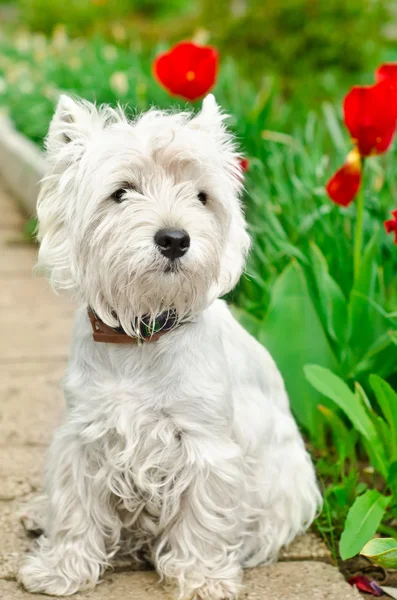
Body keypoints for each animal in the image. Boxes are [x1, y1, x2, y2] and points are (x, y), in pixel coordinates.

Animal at [18, 94, 320, 600]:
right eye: (121, 192)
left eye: (201, 196)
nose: (175, 239)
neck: (141, 334)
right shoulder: (84, 433)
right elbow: (76, 505)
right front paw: (61, 568)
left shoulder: (205, 444)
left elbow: (201, 515)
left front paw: (201, 577)